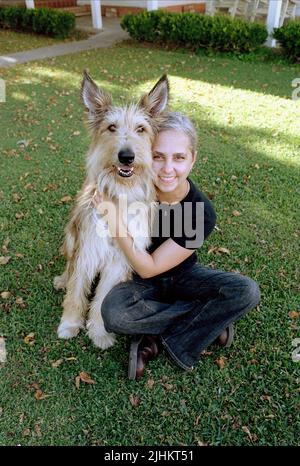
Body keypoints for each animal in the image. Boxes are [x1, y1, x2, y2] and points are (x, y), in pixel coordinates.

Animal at [54, 72, 169, 350]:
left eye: (141, 129)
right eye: (111, 128)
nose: (126, 156)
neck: (120, 193)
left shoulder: (120, 260)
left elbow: (102, 298)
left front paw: (99, 331)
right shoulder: (87, 248)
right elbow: (77, 289)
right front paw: (70, 324)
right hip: (72, 234)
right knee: (69, 265)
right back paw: (62, 279)